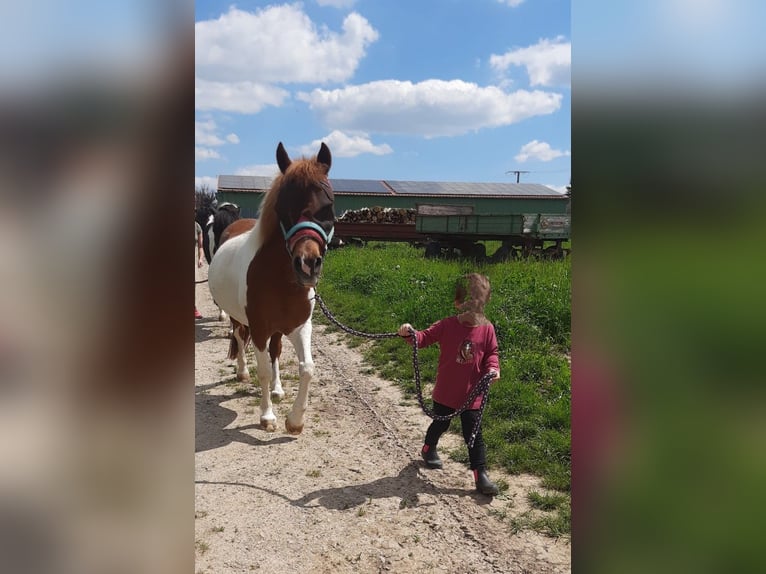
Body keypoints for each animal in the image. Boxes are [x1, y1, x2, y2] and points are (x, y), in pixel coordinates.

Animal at [208, 144, 334, 436]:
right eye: (282, 209)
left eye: (328, 207)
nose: (307, 264)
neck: (281, 281)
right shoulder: (259, 329)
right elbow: (263, 369)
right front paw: (267, 417)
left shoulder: (300, 326)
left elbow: (307, 368)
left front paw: (295, 420)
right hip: (238, 318)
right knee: (239, 337)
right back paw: (243, 372)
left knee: (276, 350)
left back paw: (277, 390)